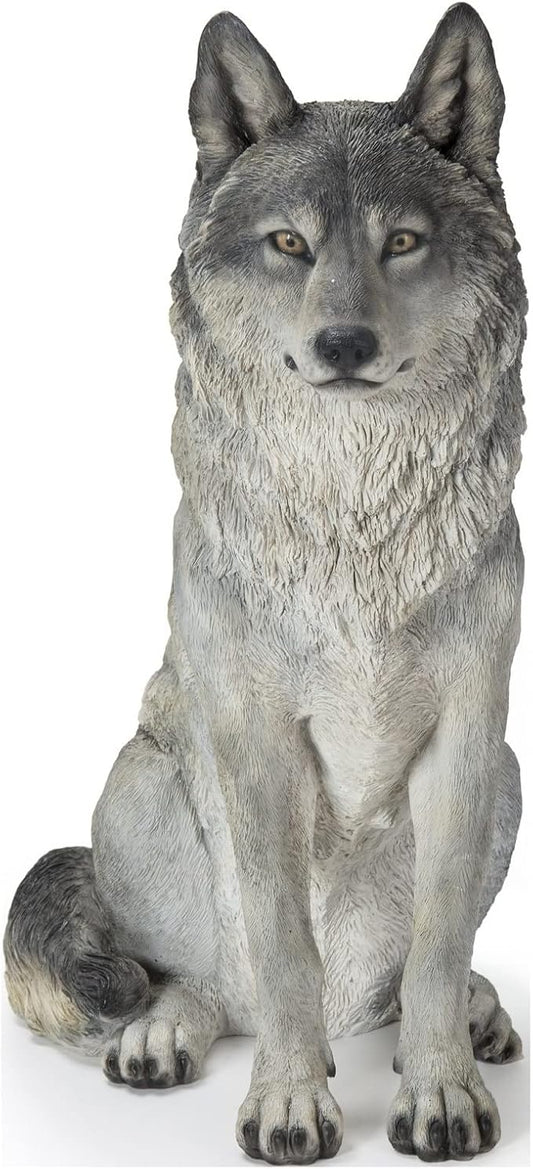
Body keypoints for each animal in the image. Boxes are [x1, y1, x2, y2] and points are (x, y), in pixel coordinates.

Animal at [4, 3, 527, 1163]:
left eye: (400, 241)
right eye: (289, 243)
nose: (344, 342)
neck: (354, 513)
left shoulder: (469, 736)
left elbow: (432, 951)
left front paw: (439, 1089)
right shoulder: (257, 741)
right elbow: (283, 948)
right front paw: (289, 1100)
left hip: (509, 781)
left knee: (400, 982)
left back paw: (464, 1014)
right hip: (135, 779)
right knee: (212, 983)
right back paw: (167, 1033)